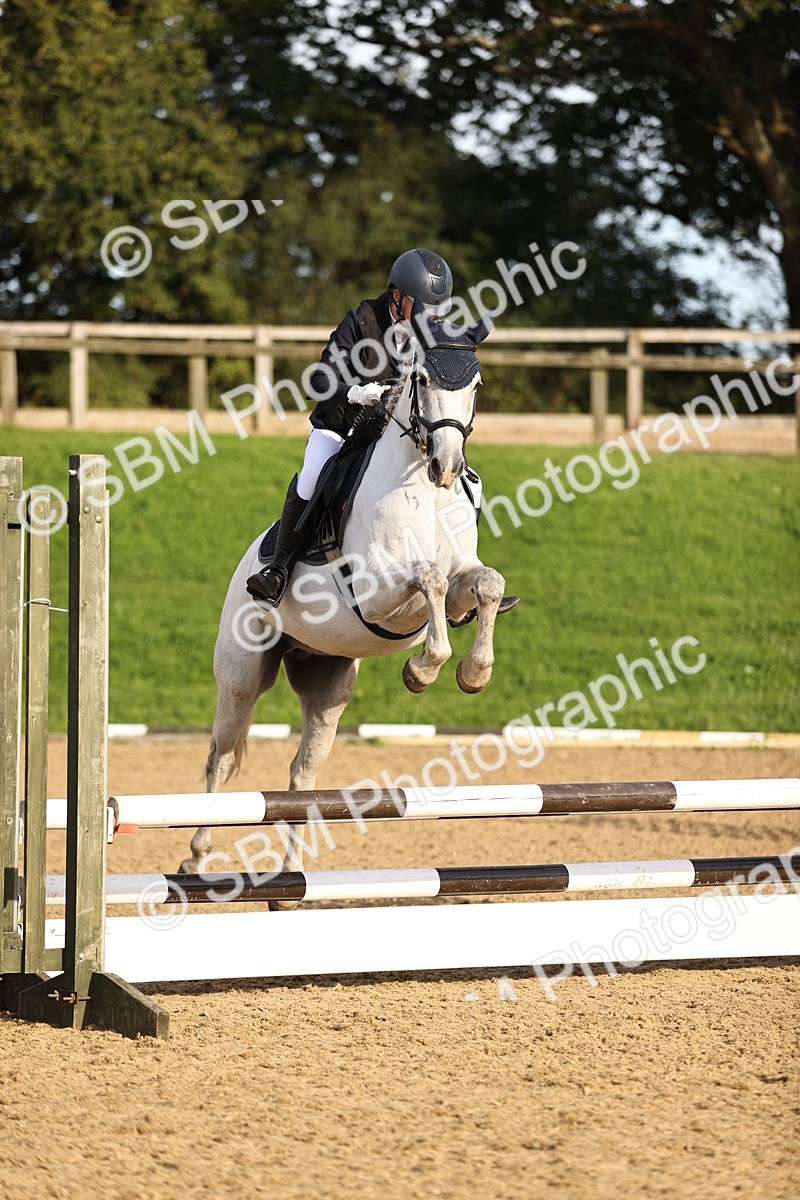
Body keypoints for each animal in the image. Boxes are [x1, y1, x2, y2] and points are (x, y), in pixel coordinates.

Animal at [180, 313, 509, 874]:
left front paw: (473, 672)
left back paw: (291, 874)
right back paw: (198, 858)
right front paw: (423, 670)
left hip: (327, 682)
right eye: (422, 379)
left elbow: (486, 584)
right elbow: (429, 577)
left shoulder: (461, 585)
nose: (447, 468)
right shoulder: (377, 592)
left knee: (302, 771)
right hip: (242, 674)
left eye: (476, 386)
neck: (422, 487)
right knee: (219, 757)